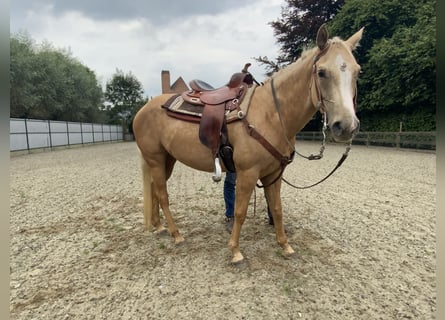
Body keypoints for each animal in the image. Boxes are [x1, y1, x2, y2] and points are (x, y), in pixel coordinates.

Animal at [131, 23, 360, 264]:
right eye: (322, 72)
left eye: (357, 71)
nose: (346, 126)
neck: (270, 113)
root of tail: (143, 110)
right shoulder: (248, 173)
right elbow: (240, 212)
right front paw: (235, 251)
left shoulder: (273, 174)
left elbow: (277, 208)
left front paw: (285, 245)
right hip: (155, 158)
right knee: (163, 195)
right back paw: (176, 234)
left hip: (168, 159)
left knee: (155, 189)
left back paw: (159, 227)